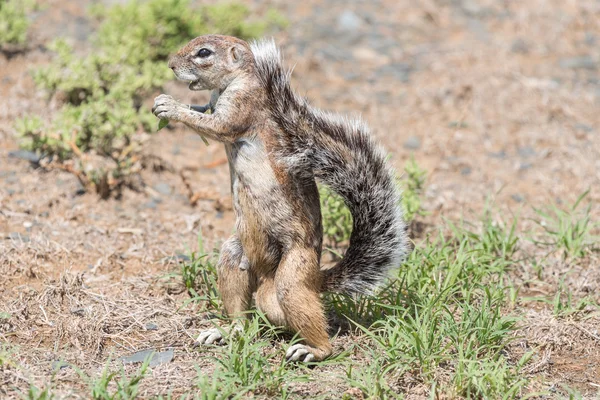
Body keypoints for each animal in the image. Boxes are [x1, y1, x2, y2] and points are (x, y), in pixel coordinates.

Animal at [152, 34, 410, 362]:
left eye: (204, 53)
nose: (171, 65)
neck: (235, 81)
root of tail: (315, 280)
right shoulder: (212, 102)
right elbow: (202, 110)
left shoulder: (241, 108)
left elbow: (216, 126)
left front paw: (170, 106)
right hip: (234, 255)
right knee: (243, 311)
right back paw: (227, 331)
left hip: (291, 275)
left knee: (307, 318)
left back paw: (313, 350)